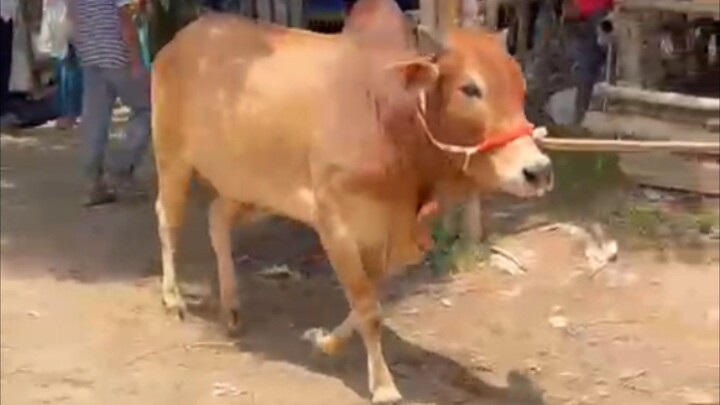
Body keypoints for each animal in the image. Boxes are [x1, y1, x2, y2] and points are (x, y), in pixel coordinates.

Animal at [151, 0, 552, 402]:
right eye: (470, 88)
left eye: (520, 86)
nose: (538, 171)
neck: (387, 120)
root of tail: (178, 41)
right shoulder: (336, 225)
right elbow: (367, 307)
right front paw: (384, 386)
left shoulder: (384, 236)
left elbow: (366, 304)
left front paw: (325, 342)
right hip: (173, 161)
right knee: (167, 218)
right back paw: (173, 298)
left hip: (248, 187)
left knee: (216, 219)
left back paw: (231, 309)